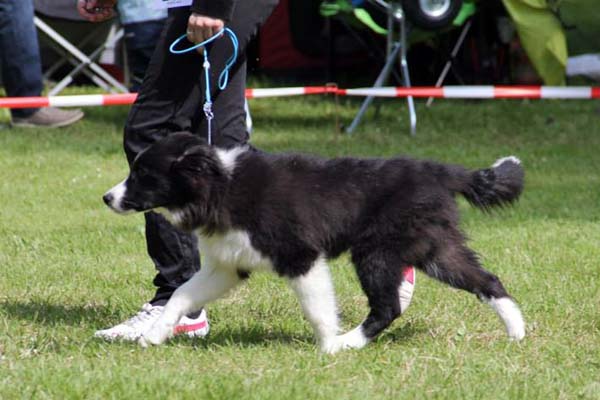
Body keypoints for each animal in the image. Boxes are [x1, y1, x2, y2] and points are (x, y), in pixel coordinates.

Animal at [103, 132, 524, 354]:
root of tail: (441, 172)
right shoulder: (228, 265)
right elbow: (181, 296)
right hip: (434, 247)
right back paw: (517, 332)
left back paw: (349, 343)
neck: (222, 185)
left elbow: (317, 308)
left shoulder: (301, 256)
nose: (107, 198)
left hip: (377, 251)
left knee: (387, 307)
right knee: (488, 281)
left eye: (142, 175)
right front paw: (152, 335)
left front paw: (328, 348)